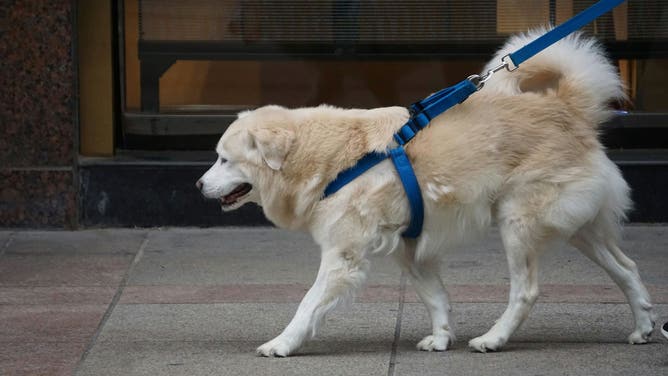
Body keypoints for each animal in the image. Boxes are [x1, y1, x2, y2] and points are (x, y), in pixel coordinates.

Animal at [196, 30, 656, 356]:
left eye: (223, 159)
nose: (198, 185)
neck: (328, 157)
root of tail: (564, 106)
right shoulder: (410, 249)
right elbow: (437, 298)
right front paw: (441, 338)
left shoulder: (342, 257)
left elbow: (307, 305)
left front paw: (282, 344)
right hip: (580, 228)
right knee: (628, 268)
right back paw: (645, 327)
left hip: (518, 224)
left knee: (526, 291)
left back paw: (494, 338)